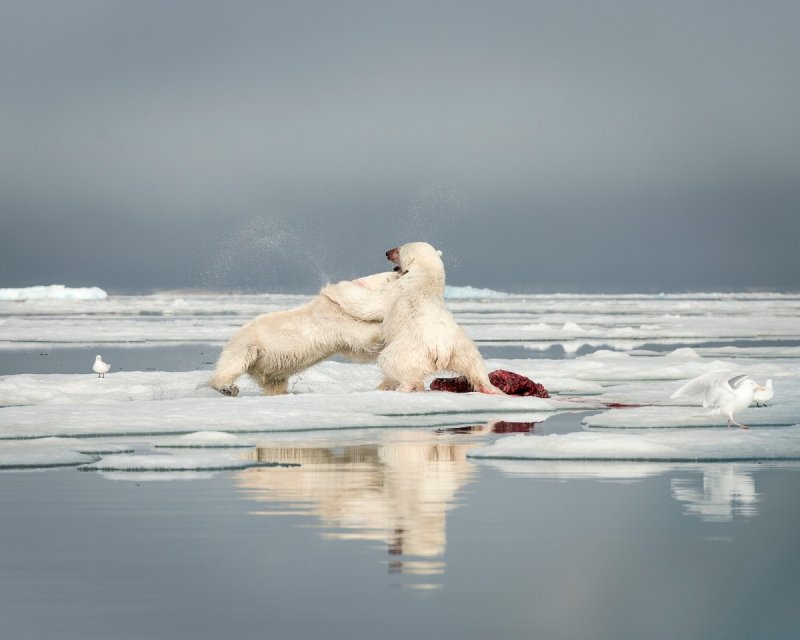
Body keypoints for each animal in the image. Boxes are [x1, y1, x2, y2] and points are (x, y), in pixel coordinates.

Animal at [209, 272, 400, 398]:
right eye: (392, 275)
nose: (397, 270)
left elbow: (360, 350)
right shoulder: (335, 319)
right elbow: (363, 336)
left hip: (269, 365)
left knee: (274, 383)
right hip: (250, 344)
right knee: (232, 363)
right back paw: (228, 388)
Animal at [378, 241, 504, 396]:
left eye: (398, 250)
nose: (387, 253)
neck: (425, 275)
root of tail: (443, 348)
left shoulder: (398, 290)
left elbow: (384, 297)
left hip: (410, 348)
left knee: (392, 362)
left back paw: (402, 387)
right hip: (463, 348)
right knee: (475, 367)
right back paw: (490, 388)